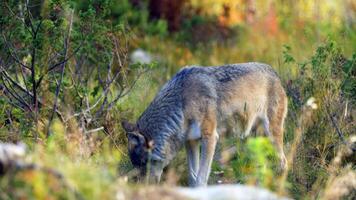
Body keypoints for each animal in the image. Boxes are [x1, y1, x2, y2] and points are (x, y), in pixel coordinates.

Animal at [121, 62, 288, 186]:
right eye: (136, 166)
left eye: (145, 163)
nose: (142, 187)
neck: (182, 104)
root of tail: (274, 72)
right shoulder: (191, 141)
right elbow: (192, 177)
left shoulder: (210, 137)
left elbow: (200, 179)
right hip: (256, 140)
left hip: (272, 135)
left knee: (283, 163)